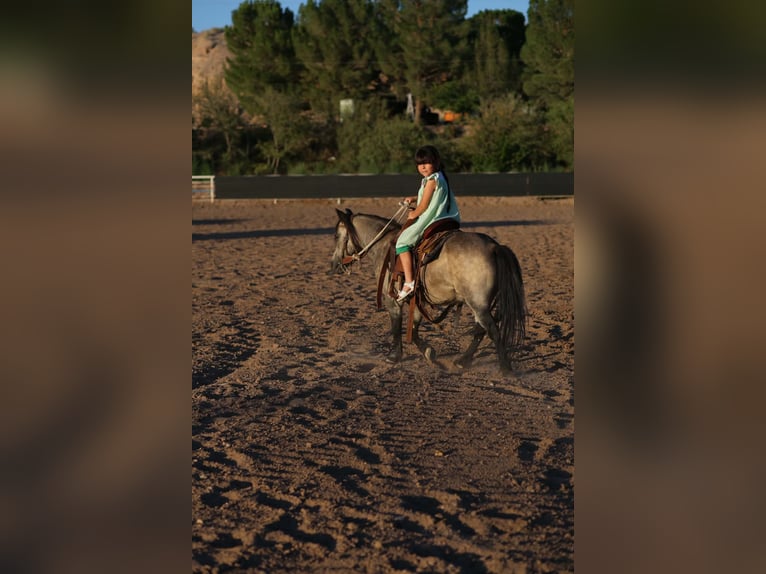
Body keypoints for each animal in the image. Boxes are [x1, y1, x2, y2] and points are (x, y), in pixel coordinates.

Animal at [329, 208, 526, 374]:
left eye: (337, 236)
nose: (333, 264)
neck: (384, 245)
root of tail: (494, 247)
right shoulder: (417, 301)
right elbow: (414, 330)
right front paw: (429, 352)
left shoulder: (392, 300)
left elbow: (396, 327)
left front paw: (394, 356)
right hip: (482, 304)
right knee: (481, 329)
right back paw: (463, 361)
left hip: (478, 304)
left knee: (492, 330)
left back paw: (505, 368)